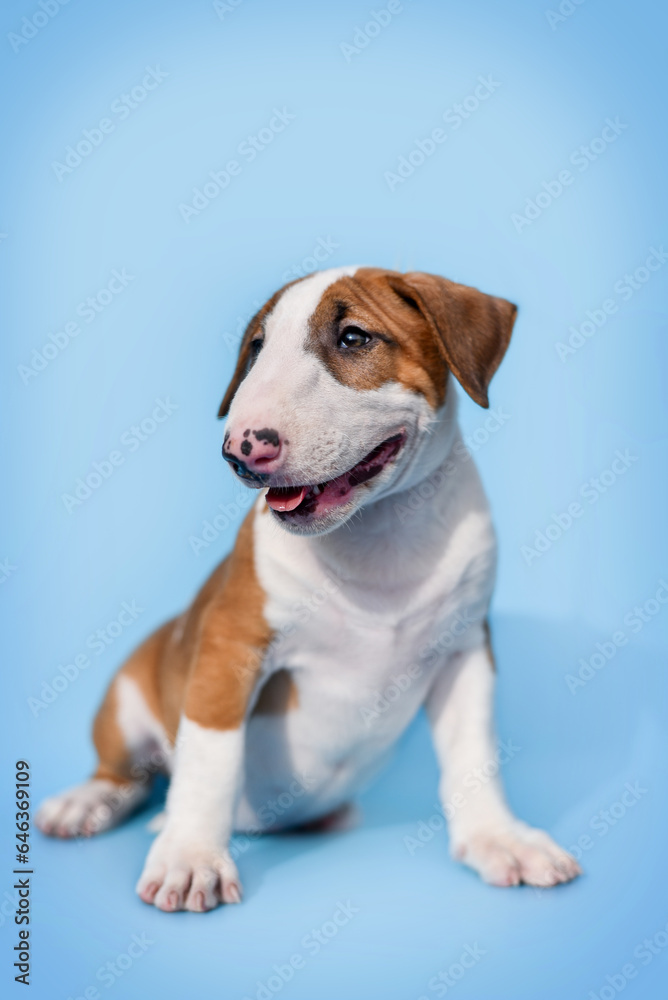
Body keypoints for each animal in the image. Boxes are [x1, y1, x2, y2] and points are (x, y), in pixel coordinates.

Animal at [35, 268, 580, 916]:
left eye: (353, 338)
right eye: (255, 349)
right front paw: (191, 858)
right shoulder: (228, 648)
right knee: (127, 771)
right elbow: (210, 760)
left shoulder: (465, 651)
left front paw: (500, 839)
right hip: (125, 696)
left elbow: (473, 756)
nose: (241, 449)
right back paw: (87, 803)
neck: (379, 531)